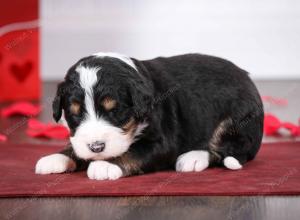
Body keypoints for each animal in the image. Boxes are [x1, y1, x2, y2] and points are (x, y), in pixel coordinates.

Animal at [36, 52, 264, 180]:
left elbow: (133, 153)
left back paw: (192, 158)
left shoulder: (162, 142)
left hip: (236, 120)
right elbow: (74, 147)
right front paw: (56, 158)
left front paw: (104, 165)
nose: (96, 147)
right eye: (74, 114)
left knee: (227, 149)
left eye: (115, 111)